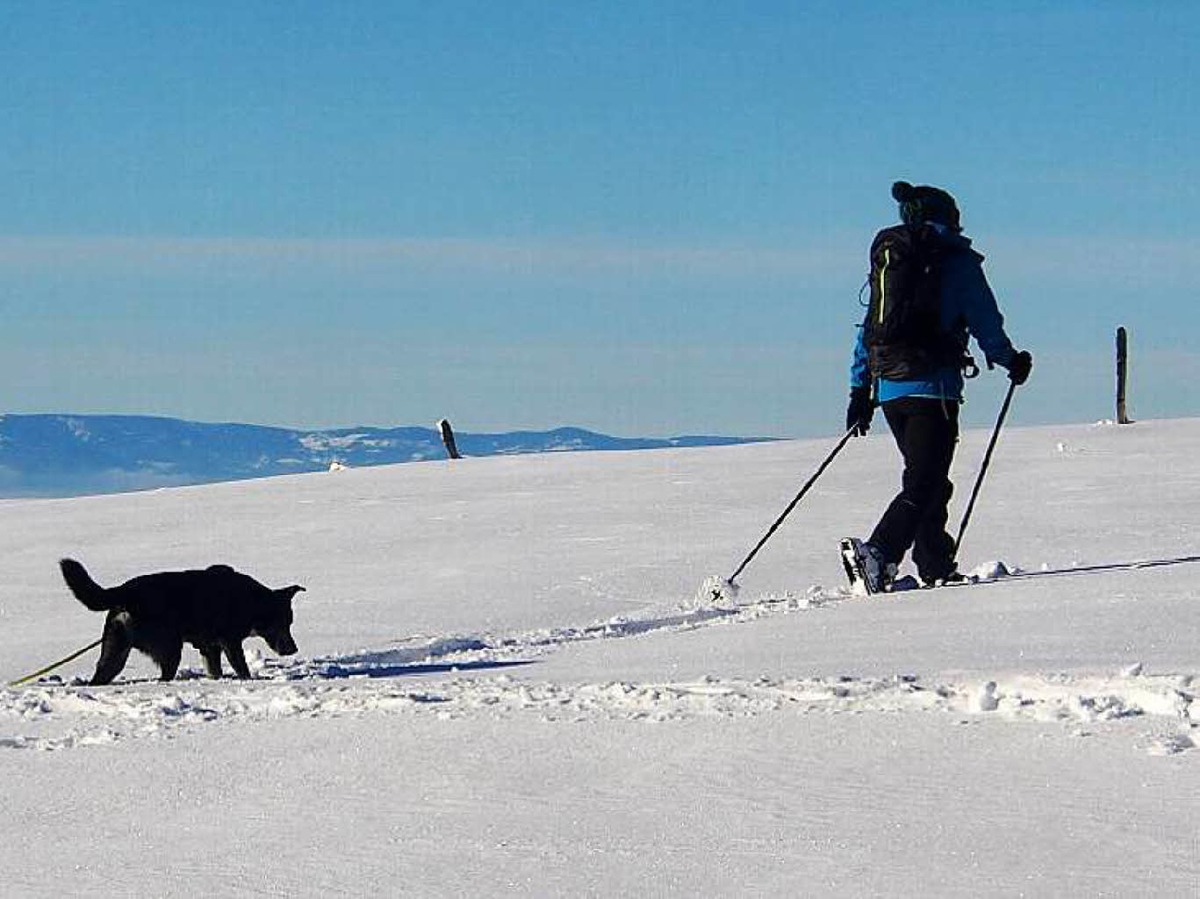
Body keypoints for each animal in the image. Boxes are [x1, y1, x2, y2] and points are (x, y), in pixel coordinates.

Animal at [60, 556, 304, 681]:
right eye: (283, 624)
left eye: (290, 623)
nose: (294, 649)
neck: (252, 602)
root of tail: (125, 591)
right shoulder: (230, 642)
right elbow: (241, 667)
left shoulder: (210, 648)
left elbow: (215, 670)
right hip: (169, 648)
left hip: (115, 651)